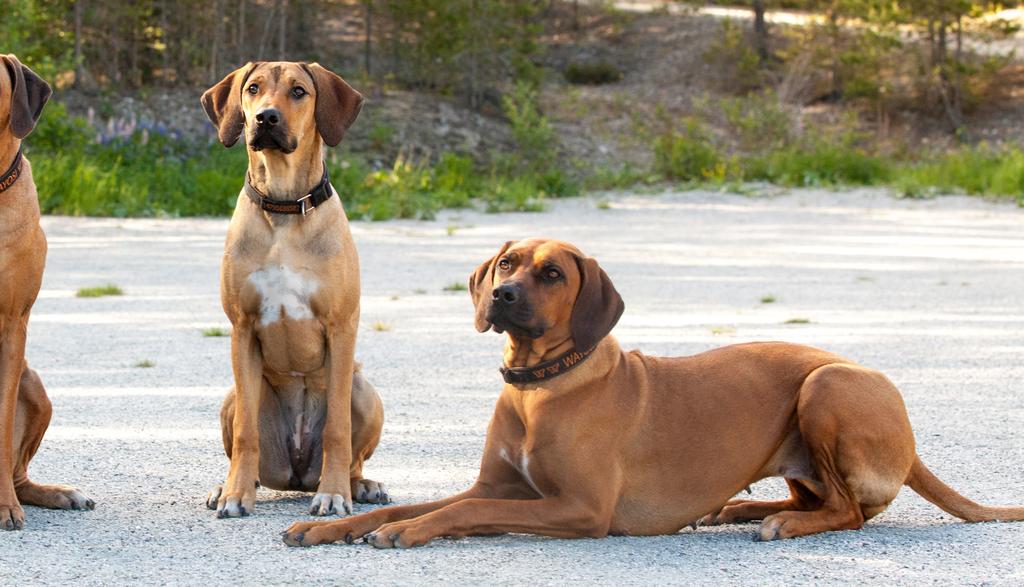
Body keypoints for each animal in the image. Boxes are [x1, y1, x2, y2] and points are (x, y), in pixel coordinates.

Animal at [201, 60, 385, 516]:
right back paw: (227, 485)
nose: (266, 117)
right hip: (232, 396)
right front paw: (235, 495)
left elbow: (338, 430)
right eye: (252, 88)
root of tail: (298, 473)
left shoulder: (340, 328)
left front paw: (333, 493)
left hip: (365, 391)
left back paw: (359, 485)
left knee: (354, 456)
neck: (284, 205)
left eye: (299, 91)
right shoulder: (242, 328)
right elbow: (246, 433)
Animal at [282, 236, 1024, 544]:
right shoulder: (500, 485)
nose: (502, 294)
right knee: (820, 496)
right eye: (507, 262)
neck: (540, 387)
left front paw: (406, 532)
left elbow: (456, 512)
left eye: (553, 273)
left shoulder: (581, 509)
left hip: (828, 385)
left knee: (848, 510)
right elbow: (421, 503)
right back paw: (738, 509)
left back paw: (783, 524)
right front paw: (332, 525)